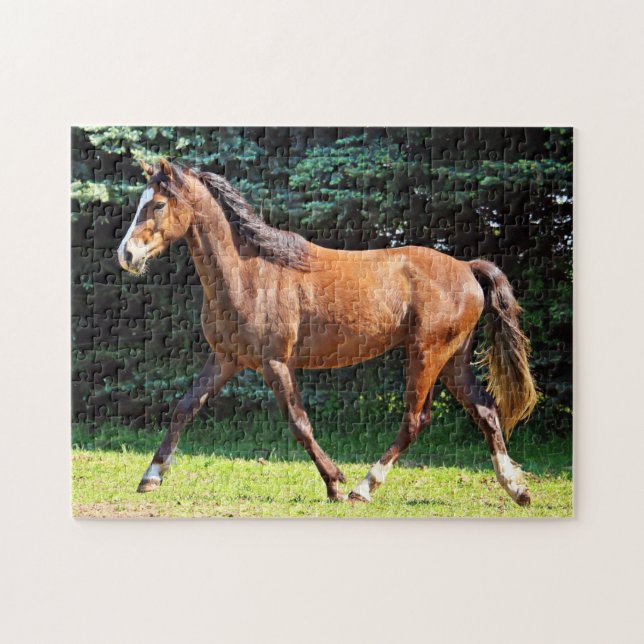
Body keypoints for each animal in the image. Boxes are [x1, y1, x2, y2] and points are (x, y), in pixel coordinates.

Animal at [117, 157, 538, 506]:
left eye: (157, 204)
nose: (126, 255)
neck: (249, 274)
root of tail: (467, 268)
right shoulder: (226, 359)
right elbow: (184, 408)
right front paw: (150, 477)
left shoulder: (276, 363)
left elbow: (299, 423)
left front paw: (335, 483)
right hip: (452, 360)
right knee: (485, 410)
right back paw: (516, 489)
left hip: (427, 355)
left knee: (415, 420)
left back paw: (363, 488)